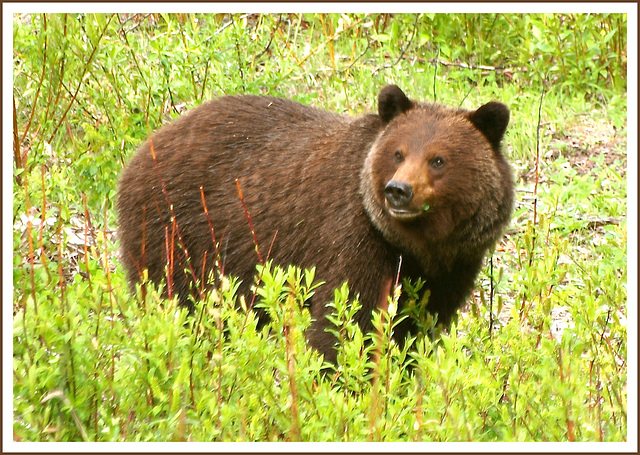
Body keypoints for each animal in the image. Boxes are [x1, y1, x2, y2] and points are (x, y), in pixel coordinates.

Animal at [117, 84, 512, 364]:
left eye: (438, 159)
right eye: (398, 153)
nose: (398, 191)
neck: (416, 245)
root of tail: (143, 149)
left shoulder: (453, 266)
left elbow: (419, 327)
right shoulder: (353, 238)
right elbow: (344, 321)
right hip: (178, 232)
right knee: (175, 300)